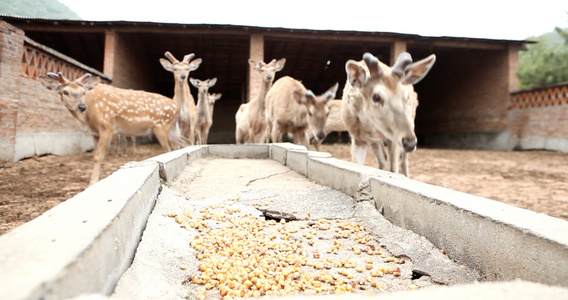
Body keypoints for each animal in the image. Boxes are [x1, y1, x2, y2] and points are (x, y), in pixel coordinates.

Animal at [41, 72, 191, 185]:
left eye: (83, 92)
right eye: (65, 92)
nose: (82, 107)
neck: (89, 117)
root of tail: (177, 108)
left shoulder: (107, 126)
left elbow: (98, 156)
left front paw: (92, 183)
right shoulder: (95, 133)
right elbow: (95, 155)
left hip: (161, 125)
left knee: (170, 149)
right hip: (171, 129)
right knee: (185, 142)